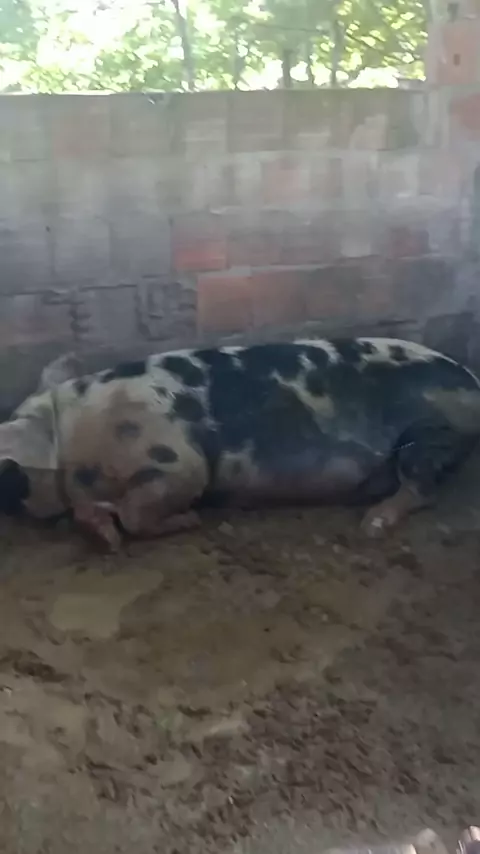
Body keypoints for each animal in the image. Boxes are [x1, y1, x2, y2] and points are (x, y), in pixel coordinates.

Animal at [0, 338, 479, 551]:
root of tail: (472, 381)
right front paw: (104, 536)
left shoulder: (180, 461)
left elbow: (140, 510)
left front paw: (188, 520)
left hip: (430, 432)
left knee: (421, 488)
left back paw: (372, 524)